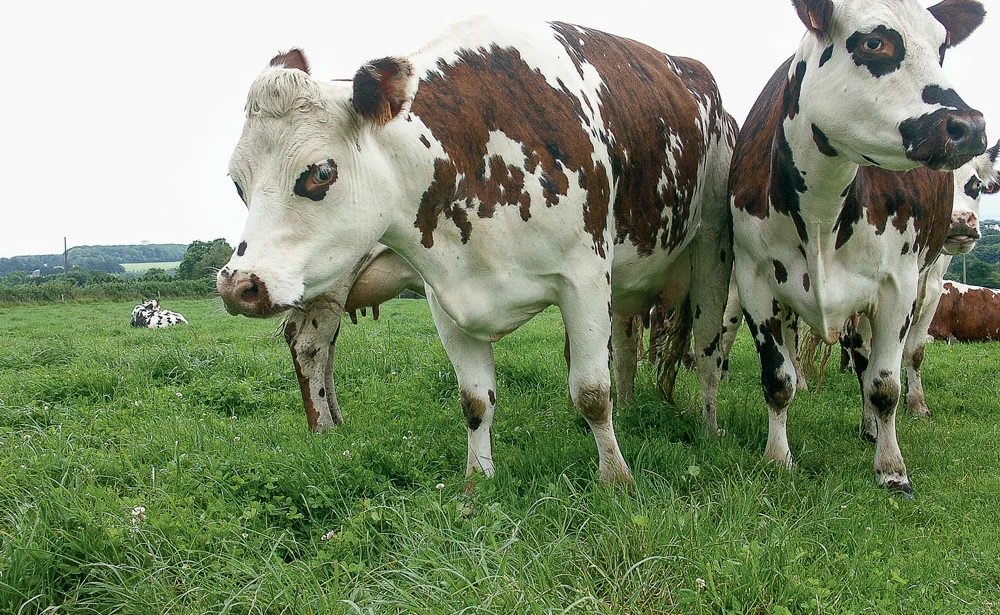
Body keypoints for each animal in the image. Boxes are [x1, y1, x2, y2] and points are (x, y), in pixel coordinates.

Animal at [219, 16, 740, 488]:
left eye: (321, 173)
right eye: (237, 183)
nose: (237, 285)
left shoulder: (586, 279)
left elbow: (592, 391)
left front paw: (616, 479)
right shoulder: (445, 297)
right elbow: (474, 400)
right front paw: (477, 480)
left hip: (712, 252)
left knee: (708, 351)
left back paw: (710, 428)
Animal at [732, 0, 988, 494]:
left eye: (942, 48)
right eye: (874, 42)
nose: (968, 126)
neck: (820, 209)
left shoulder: (898, 287)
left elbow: (884, 385)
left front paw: (891, 468)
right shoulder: (754, 279)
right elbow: (777, 378)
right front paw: (777, 458)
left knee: (873, 363)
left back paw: (873, 428)